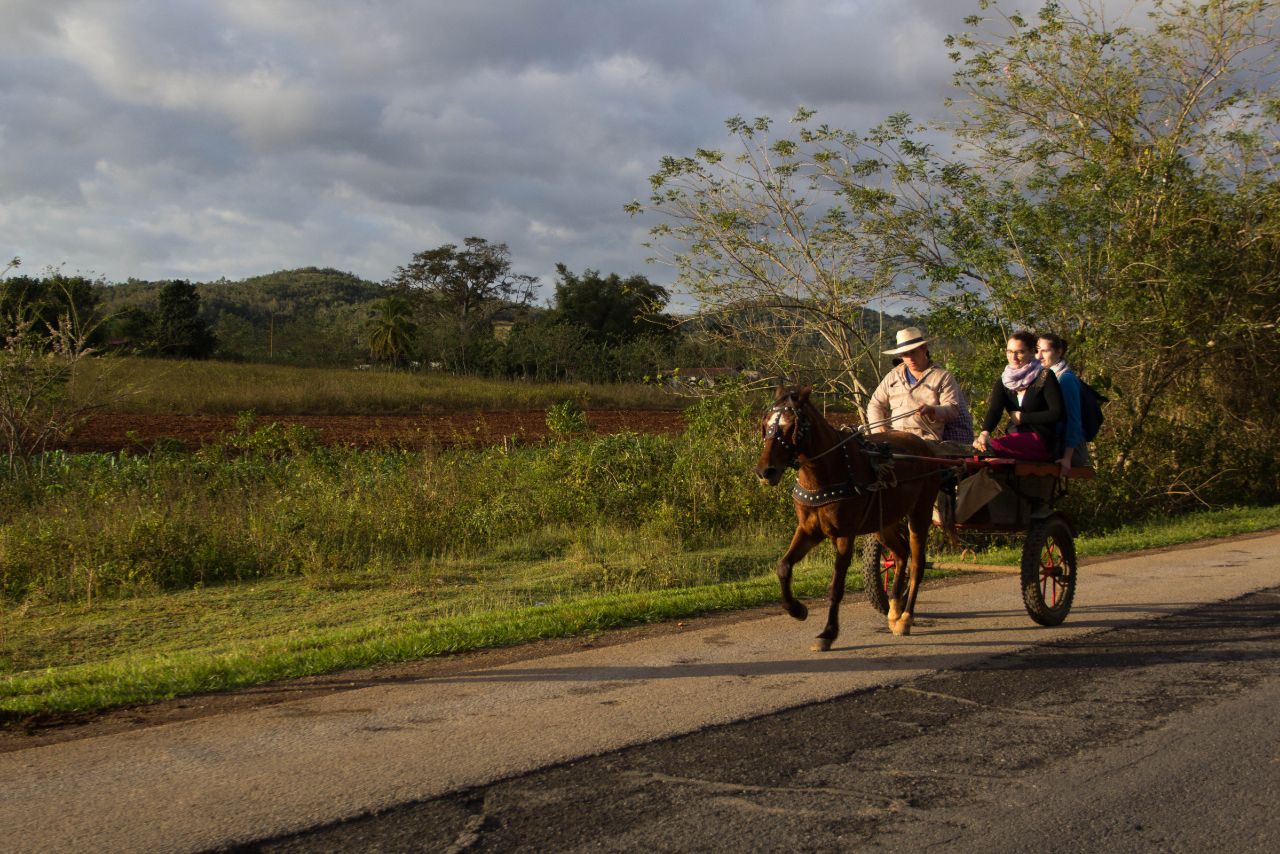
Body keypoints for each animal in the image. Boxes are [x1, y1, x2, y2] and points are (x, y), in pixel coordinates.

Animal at [752, 386, 947, 647]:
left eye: (792, 425)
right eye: (766, 424)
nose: (765, 471)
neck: (827, 472)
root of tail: (925, 447)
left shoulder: (845, 535)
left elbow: (836, 586)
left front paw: (828, 633)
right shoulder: (809, 530)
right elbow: (783, 566)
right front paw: (796, 609)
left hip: (920, 514)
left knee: (916, 563)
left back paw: (905, 618)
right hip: (883, 523)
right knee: (900, 555)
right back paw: (894, 609)